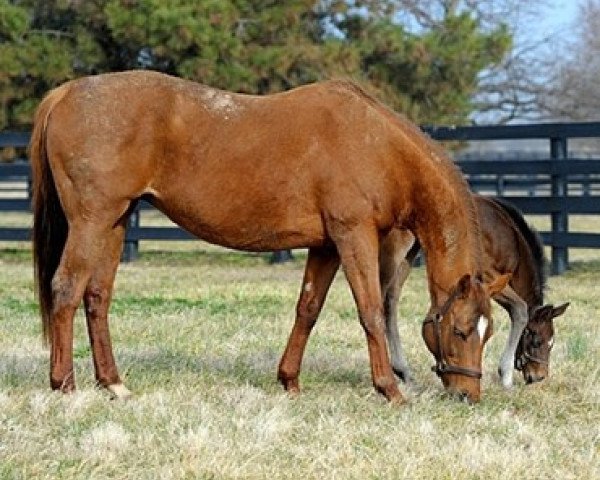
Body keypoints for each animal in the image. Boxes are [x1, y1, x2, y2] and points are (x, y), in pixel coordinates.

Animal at [29, 70, 506, 402]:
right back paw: (65, 385)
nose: (468, 396)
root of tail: (65, 93)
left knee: (96, 297)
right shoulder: (354, 236)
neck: (377, 146)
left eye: (488, 333)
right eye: (462, 330)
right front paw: (389, 389)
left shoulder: (326, 245)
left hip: (114, 223)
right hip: (91, 222)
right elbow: (370, 310)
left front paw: (289, 381)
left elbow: (307, 310)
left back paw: (113, 384)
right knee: (66, 289)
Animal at [380, 197, 568, 388]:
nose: (539, 377)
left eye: (551, 343)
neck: (506, 235)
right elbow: (520, 309)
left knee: (391, 296)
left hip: (409, 252)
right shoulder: (486, 274)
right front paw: (506, 377)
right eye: (537, 341)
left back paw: (404, 372)